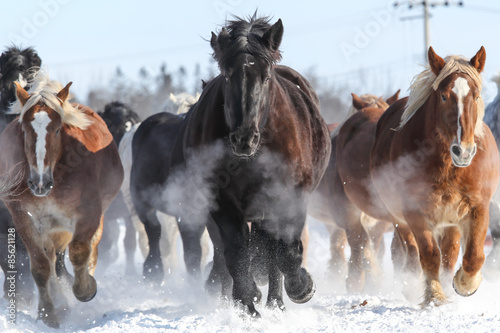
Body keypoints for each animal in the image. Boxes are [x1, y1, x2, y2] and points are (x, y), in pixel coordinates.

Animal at [0, 71, 123, 326]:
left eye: (57, 129)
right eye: (25, 130)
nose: (39, 183)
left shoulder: (88, 213)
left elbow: (80, 251)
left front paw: (85, 289)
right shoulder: (22, 216)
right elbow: (40, 266)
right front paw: (48, 313)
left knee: (90, 250)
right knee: (51, 259)